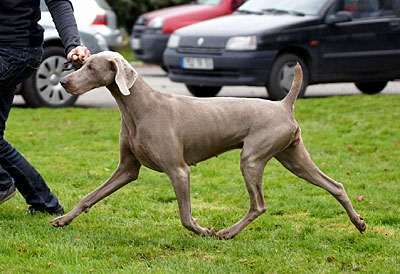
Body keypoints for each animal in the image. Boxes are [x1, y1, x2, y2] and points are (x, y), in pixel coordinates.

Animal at [51, 52, 368, 240]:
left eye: (91, 67)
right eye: (80, 64)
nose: (64, 82)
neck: (138, 107)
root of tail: (284, 104)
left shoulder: (179, 171)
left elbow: (185, 217)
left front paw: (204, 230)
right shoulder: (126, 169)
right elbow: (89, 196)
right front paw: (63, 219)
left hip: (252, 158)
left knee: (259, 204)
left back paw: (227, 232)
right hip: (293, 157)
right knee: (335, 185)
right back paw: (359, 223)